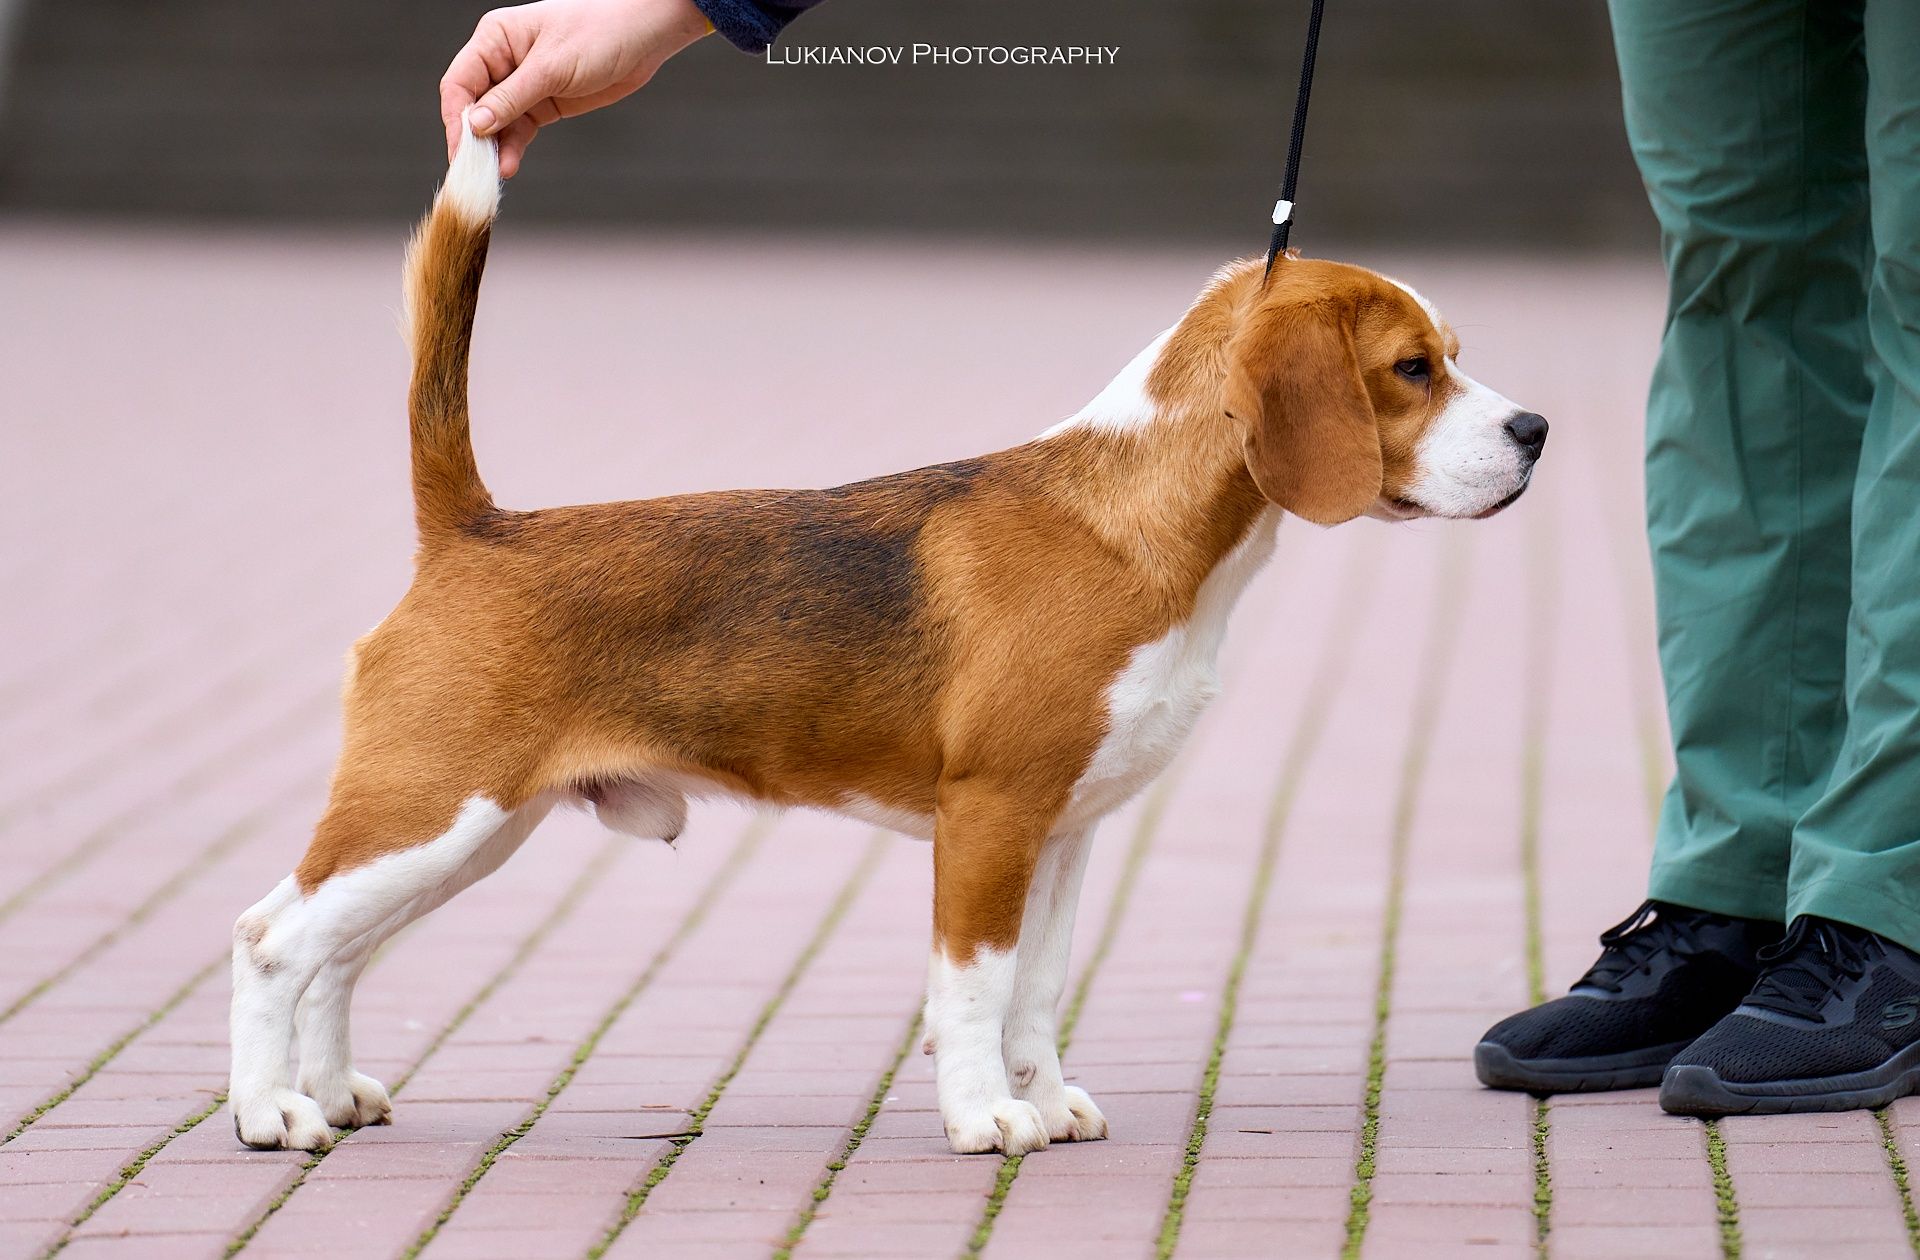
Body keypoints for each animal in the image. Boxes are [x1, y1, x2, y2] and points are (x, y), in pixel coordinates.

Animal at [228, 122, 1543, 1160]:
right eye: (1411, 370)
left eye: (1452, 357)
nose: (1535, 429)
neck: (1139, 525)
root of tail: (474, 526)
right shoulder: (989, 817)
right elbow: (973, 990)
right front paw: (984, 1118)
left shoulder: (1065, 830)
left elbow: (1037, 991)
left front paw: (1044, 1099)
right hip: (433, 810)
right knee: (270, 939)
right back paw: (268, 1114)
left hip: (461, 835)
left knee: (336, 953)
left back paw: (331, 1092)